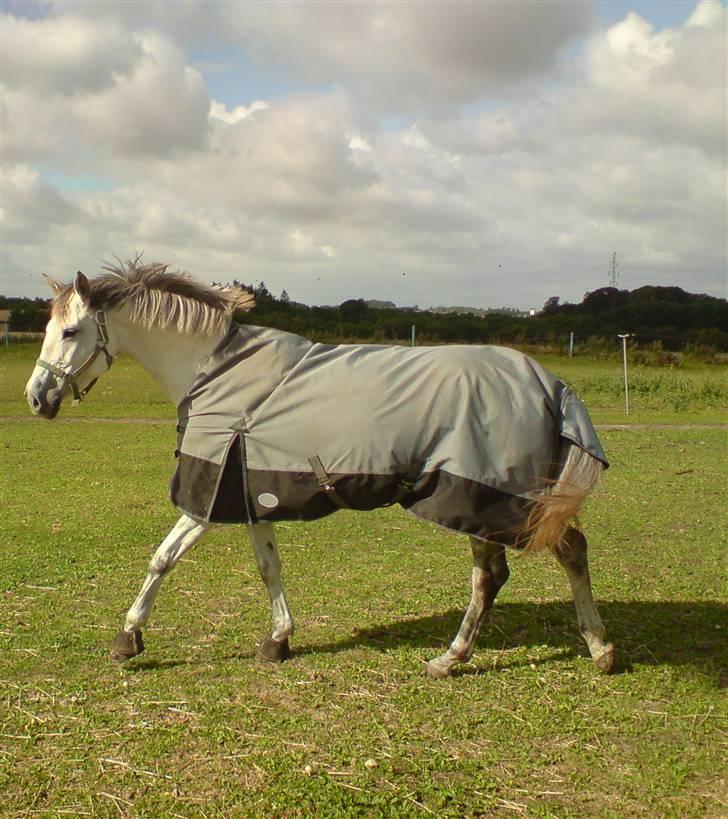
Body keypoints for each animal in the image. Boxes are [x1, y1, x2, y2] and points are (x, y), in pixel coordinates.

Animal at [24, 262, 616, 680]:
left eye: (71, 332)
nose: (36, 398)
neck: (214, 369)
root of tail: (550, 384)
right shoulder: (249, 488)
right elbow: (269, 568)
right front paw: (278, 640)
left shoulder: (206, 494)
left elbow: (162, 559)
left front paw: (128, 638)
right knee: (534, 562)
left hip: (487, 496)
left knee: (517, 568)